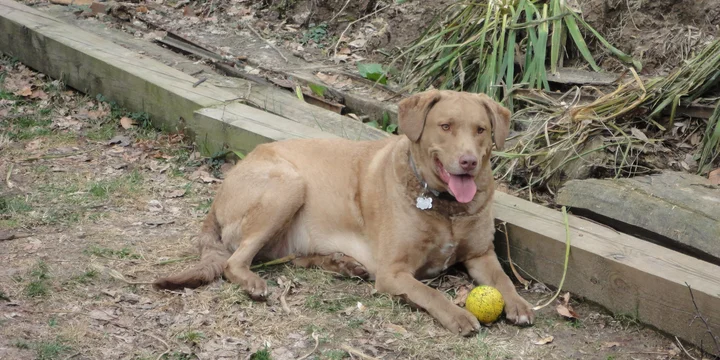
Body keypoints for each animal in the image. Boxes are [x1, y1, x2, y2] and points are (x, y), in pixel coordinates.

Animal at [153, 89, 536, 334]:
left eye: (481, 130)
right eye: (445, 126)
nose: (469, 161)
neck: (444, 205)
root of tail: (220, 192)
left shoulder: (481, 254)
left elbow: (502, 279)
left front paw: (518, 304)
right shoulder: (394, 272)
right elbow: (430, 293)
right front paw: (457, 315)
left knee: (287, 257)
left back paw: (342, 264)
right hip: (288, 186)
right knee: (235, 262)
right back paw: (254, 282)